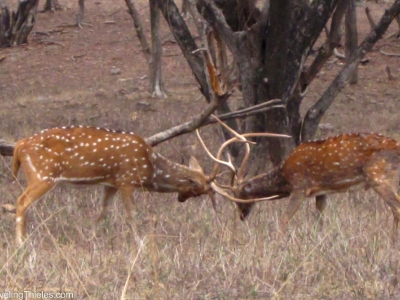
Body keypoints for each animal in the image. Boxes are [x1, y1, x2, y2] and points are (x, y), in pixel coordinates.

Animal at [205, 131, 400, 244]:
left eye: (240, 197)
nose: (241, 216)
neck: (285, 177)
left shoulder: (300, 187)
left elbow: (284, 218)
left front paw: (277, 244)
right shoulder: (321, 191)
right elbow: (319, 219)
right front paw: (319, 242)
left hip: (379, 176)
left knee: (396, 207)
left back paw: (391, 244)